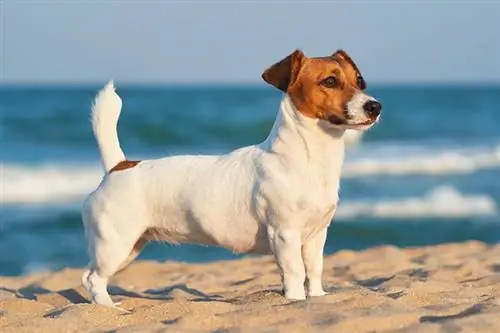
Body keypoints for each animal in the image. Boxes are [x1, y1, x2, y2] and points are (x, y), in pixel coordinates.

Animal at [81, 48, 382, 304]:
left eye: (359, 81)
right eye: (329, 81)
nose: (375, 107)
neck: (308, 159)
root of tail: (119, 166)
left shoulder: (317, 235)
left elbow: (315, 270)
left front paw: (317, 298)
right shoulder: (285, 234)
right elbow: (295, 273)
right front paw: (296, 301)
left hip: (130, 247)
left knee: (89, 277)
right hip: (116, 245)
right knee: (94, 278)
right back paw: (111, 309)